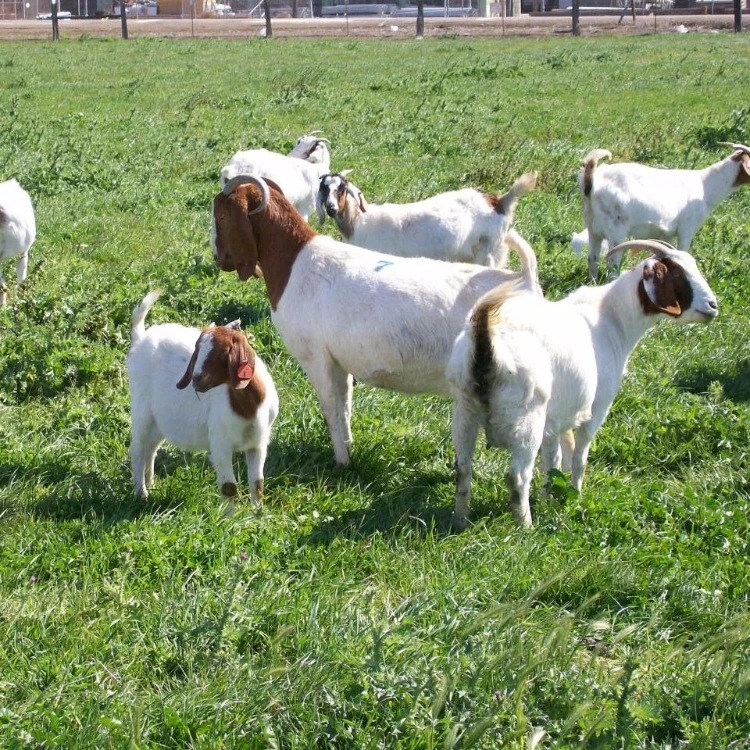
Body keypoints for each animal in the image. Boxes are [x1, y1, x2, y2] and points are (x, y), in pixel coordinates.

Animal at [128, 290, 278, 503]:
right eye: (198, 350)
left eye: (223, 352)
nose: (196, 379)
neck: (248, 408)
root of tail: (141, 338)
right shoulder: (220, 442)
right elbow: (229, 487)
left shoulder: (258, 443)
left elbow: (257, 484)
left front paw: (258, 511)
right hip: (142, 410)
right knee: (138, 449)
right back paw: (141, 493)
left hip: (160, 419)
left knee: (151, 447)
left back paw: (150, 483)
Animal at [316, 171, 537, 267]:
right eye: (324, 189)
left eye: (342, 188)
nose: (332, 209)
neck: (359, 222)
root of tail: (499, 201)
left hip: (487, 253)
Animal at [447, 239, 718, 529]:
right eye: (677, 274)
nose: (712, 306)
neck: (611, 319)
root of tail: (486, 336)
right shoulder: (597, 408)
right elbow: (579, 457)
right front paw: (575, 495)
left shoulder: (556, 418)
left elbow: (554, 459)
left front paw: (550, 498)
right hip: (526, 419)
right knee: (517, 477)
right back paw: (526, 527)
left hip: (465, 412)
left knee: (463, 469)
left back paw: (460, 522)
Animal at [573, 144, 750, 280]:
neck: (706, 186)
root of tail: (592, 180)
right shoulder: (686, 228)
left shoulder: (666, 235)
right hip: (616, 231)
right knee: (612, 264)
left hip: (593, 228)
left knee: (592, 259)